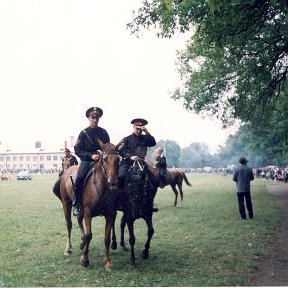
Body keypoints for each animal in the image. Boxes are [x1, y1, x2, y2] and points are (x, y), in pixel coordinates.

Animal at [52, 143, 118, 272]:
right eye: (105, 159)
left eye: (118, 159)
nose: (112, 183)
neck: (100, 187)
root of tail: (67, 172)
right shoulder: (88, 213)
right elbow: (89, 235)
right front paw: (84, 259)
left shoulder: (110, 215)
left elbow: (107, 238)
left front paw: (107, 262)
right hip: (66, 204)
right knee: (69, 224)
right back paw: (68, 249)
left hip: (80, 208)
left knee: (78, 220)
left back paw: (82, 243)